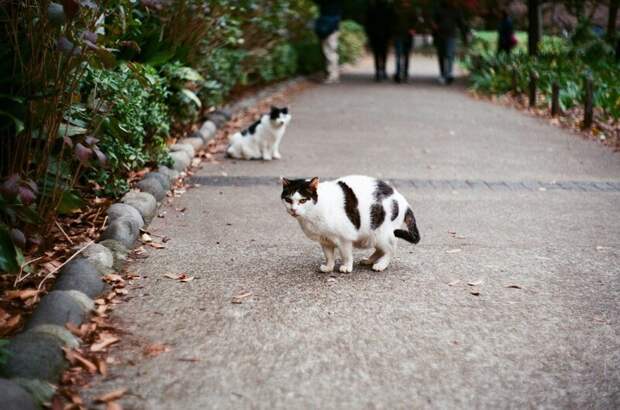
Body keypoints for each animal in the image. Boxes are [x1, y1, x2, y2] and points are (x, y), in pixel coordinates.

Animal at [282, 174, 422, 272]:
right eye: (288, 200)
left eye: (303, 200)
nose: (293, 210)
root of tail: (404, 201)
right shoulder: (325, 240)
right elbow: (329, 256)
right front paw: (329, 267)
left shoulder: (344, 238)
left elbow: (346, 255)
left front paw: (347, 267)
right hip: (373, 236)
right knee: (380, 250)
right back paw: (369, 260)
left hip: (381, 233)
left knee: (391, 250)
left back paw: (381, 265)